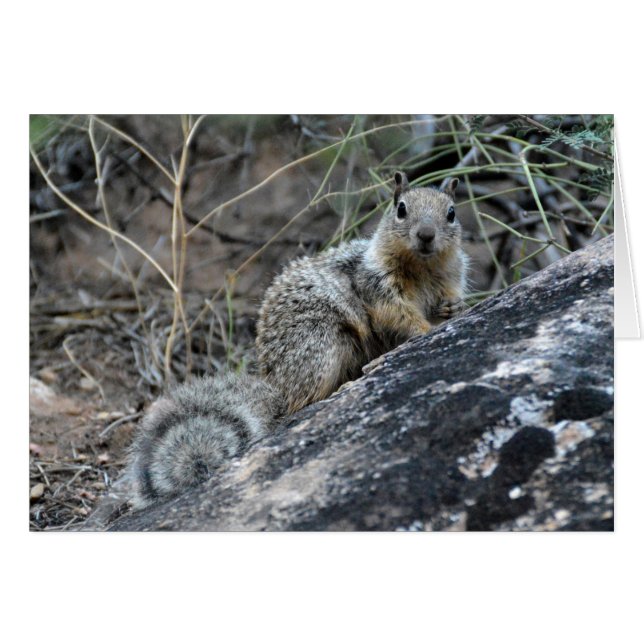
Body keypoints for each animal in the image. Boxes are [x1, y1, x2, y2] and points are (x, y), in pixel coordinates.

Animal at [256, 171, 468, 414]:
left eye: (451, 213)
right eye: (401, 209)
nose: (426, 234)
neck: (423, 268)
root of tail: (275, 385)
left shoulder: (451, 281)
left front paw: (455, 307)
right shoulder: (378, 289)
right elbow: (401, 315)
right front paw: (426, 329)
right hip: (322, 343)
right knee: (302, 399)